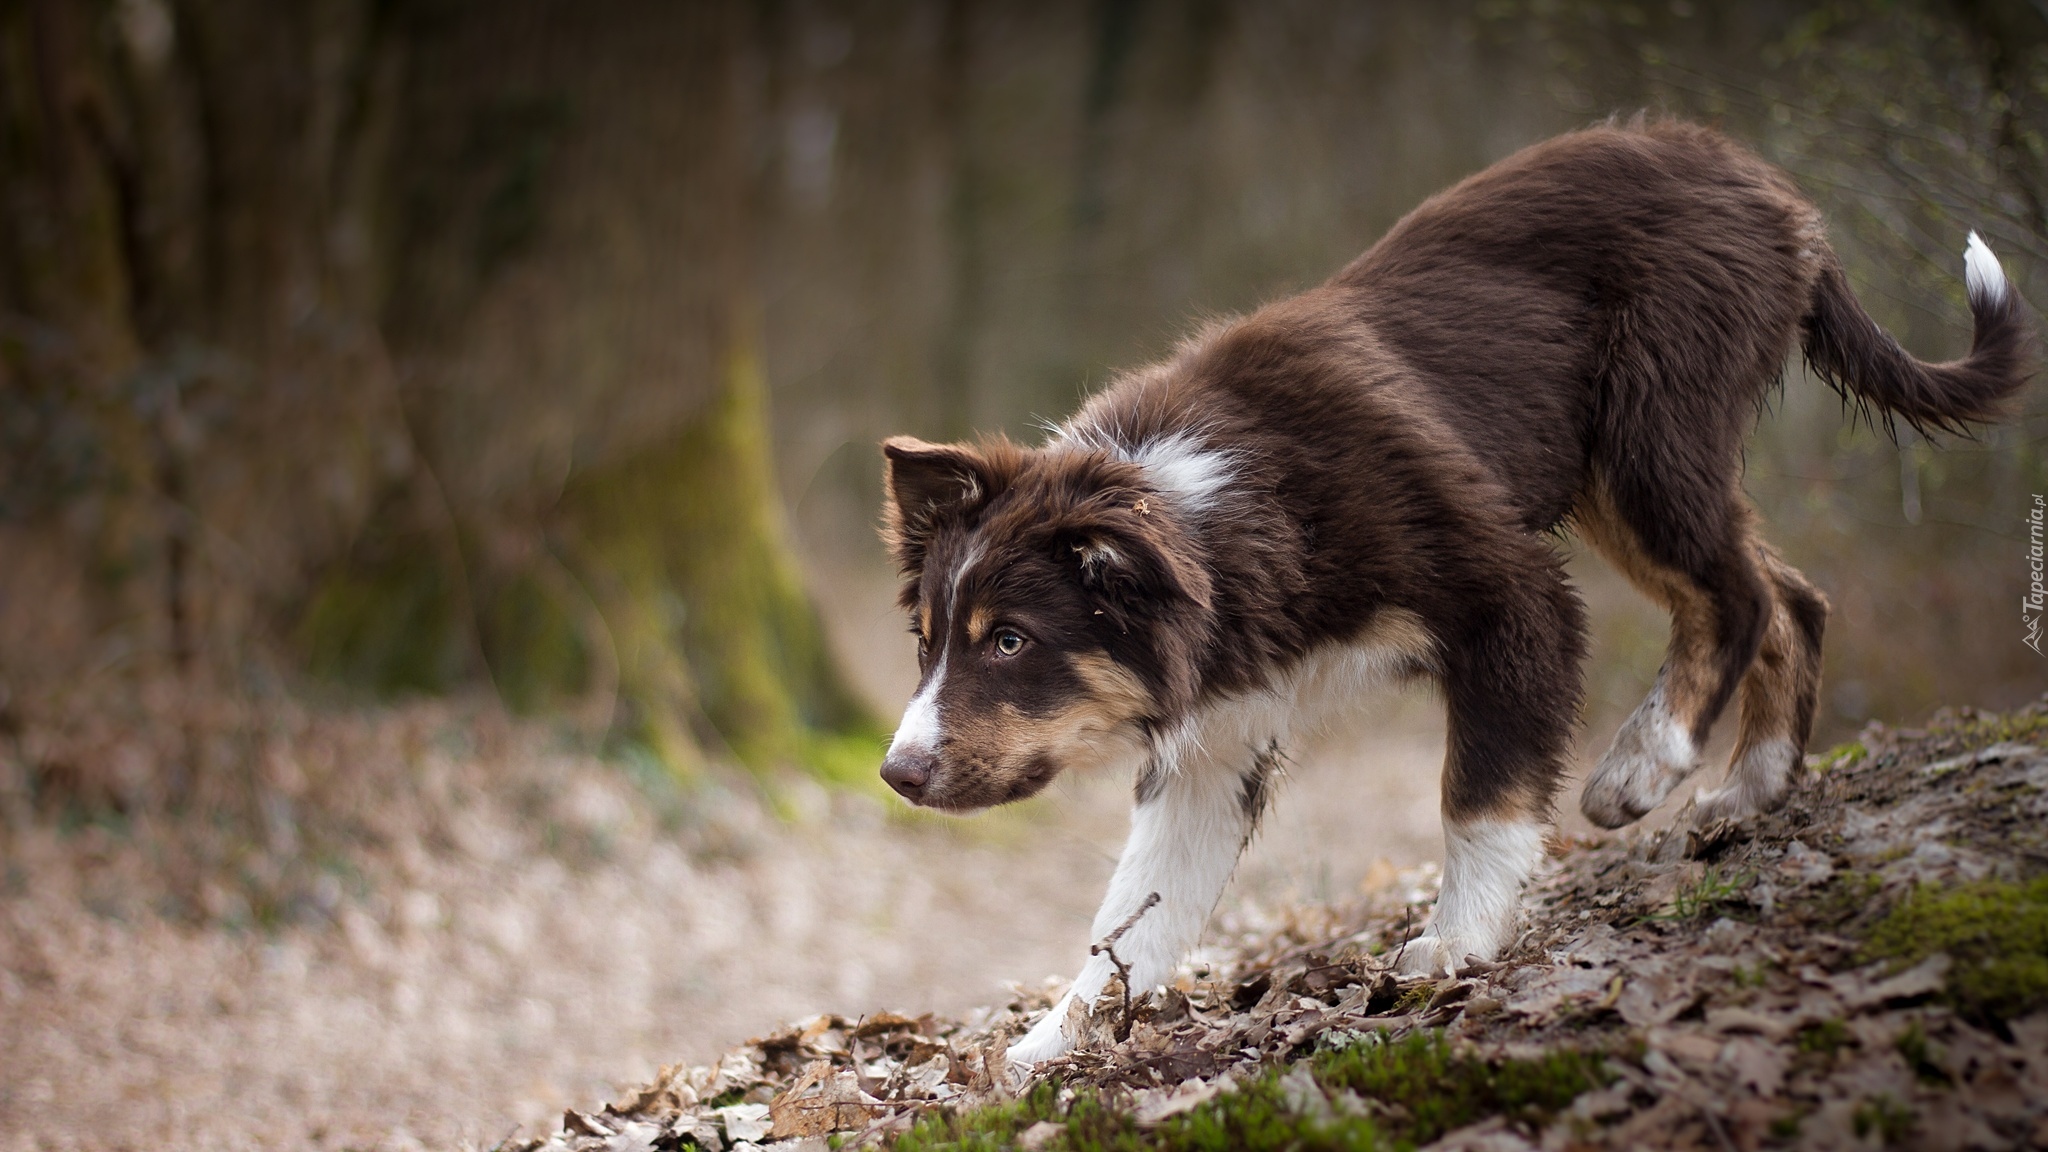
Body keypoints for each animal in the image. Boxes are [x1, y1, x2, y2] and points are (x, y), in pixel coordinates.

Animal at [876, 118, 2031, 1057]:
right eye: (928, 641)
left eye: (1010, 641)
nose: (894, 774)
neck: (1201, 511)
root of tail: (1765, 183)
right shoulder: (1219, 730)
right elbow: (1143, 902)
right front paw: (1050, 1047)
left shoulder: (1509, 595)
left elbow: (1477, 793)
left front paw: (1455, 943)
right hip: (1617, 469)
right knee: (1789, 595)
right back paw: (1751, 786)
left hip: (1649, 436)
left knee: (1738, 594)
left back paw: (1643, 765)